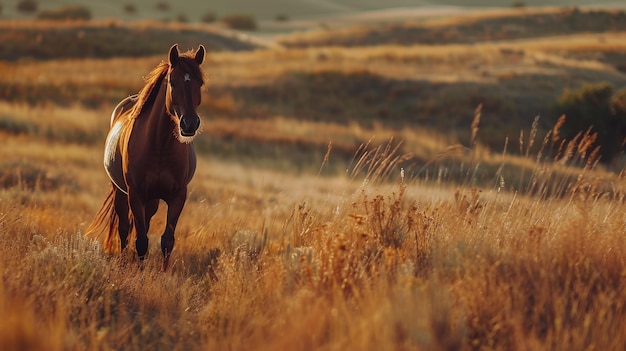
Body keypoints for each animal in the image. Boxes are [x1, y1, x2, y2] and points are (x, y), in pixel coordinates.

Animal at [88, 43, 206, 270]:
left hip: (152, 200)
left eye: (200, 83)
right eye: (172, 82)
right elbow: (141, 240)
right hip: (121, 193)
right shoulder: (135, 194)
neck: (159, 147)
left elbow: (167, 240)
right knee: (124, 230)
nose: (189, 124)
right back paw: (124, 262)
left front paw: (163, 274)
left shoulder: (178, 196)